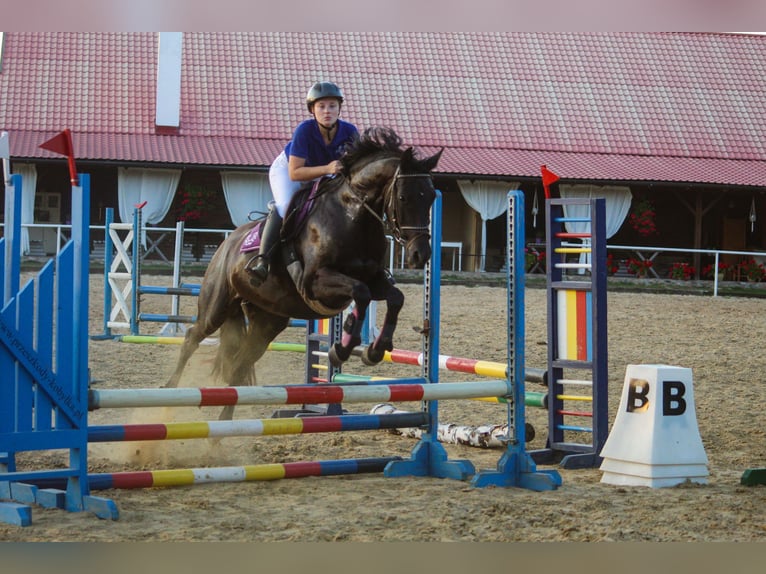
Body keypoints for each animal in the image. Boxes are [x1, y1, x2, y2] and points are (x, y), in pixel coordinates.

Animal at [168, 128, 444, 420]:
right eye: (403, 197)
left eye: (430, 197)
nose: (420, 254)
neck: (353, 216)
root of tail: (227, 244)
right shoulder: (316, 281)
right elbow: (361, 293)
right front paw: (342, 346)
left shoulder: (375, 279)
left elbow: (395, 297)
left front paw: (375, 349)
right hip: (217, 306)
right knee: (192, 337)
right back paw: (169, 393)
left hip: (267, 322)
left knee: (240, 364)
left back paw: (223, 425)